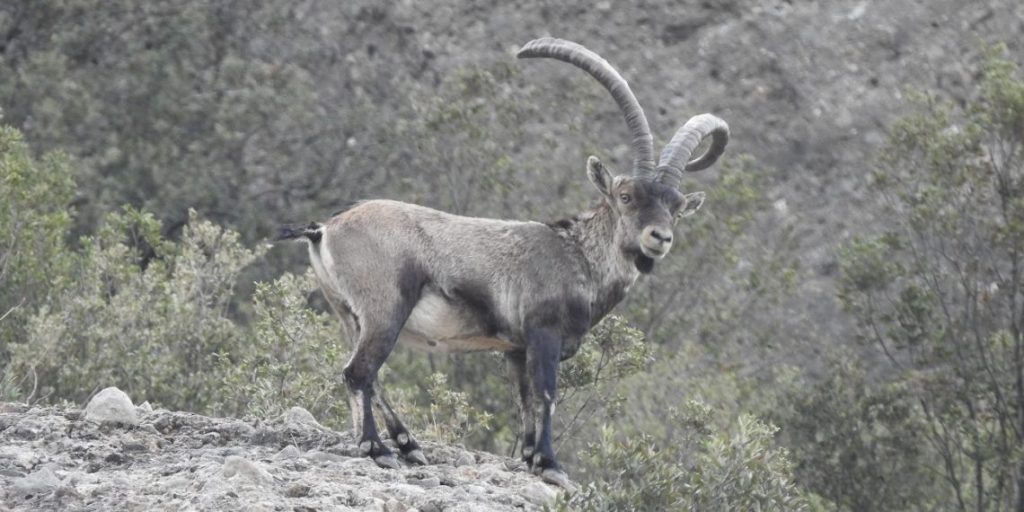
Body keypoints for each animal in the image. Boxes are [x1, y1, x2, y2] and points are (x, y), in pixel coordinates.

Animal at [276, 37, 729, 489]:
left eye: (675, 208)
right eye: (626, 195)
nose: (659, 238)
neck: (578, 256)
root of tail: (325, 229)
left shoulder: (516, 348)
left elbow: (525, 399)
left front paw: (529, 456)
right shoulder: (544, 334)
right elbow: (546, 395)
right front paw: (550, 464)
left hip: (348, 314)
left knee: (370, 374)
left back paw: (408, 445)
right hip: (385, 308)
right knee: (359, 372)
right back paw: (378, 448)